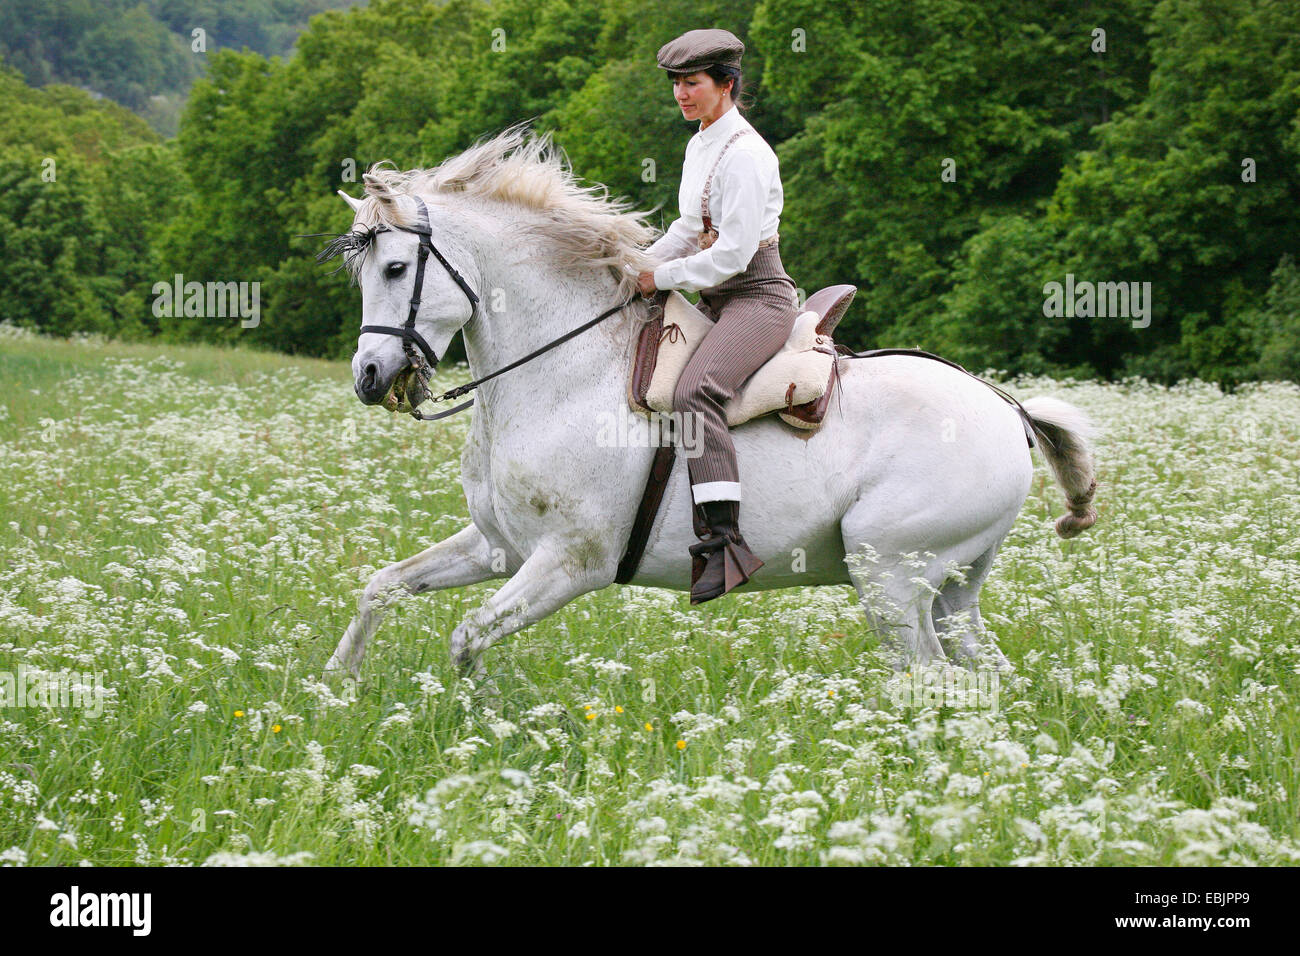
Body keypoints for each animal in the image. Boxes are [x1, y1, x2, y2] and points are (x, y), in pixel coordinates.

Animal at [319, 125, 1092, 681]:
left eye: (396, 268)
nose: (369, 376)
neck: (563, 375)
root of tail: (1007, 410)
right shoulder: (501, 548)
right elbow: (382, 587)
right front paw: (338, 683)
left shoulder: (570, 563)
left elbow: (467, 638)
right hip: (953, 589)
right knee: (985, 674)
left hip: (892, 581)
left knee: (932, 678)